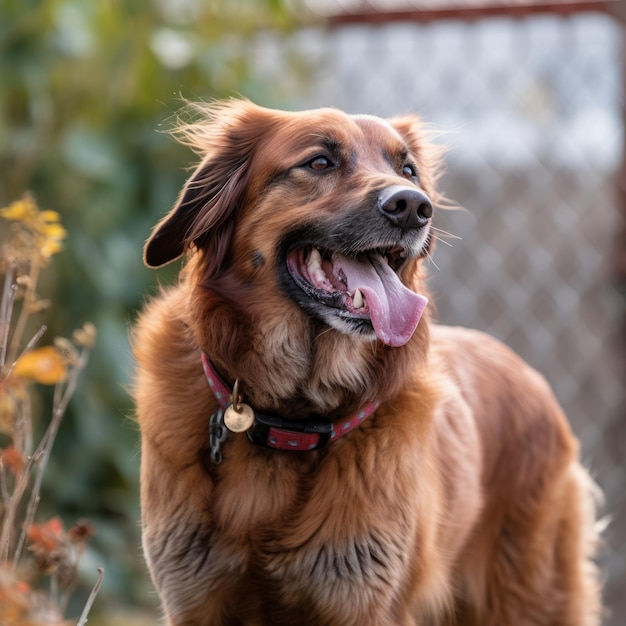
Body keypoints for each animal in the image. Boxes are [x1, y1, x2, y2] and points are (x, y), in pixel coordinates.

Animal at [133, 100, 600, 620]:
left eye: (408, 171)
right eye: (320, 162)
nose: (414, 207)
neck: (291, 418)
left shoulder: (364, 602)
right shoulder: (196, 598)